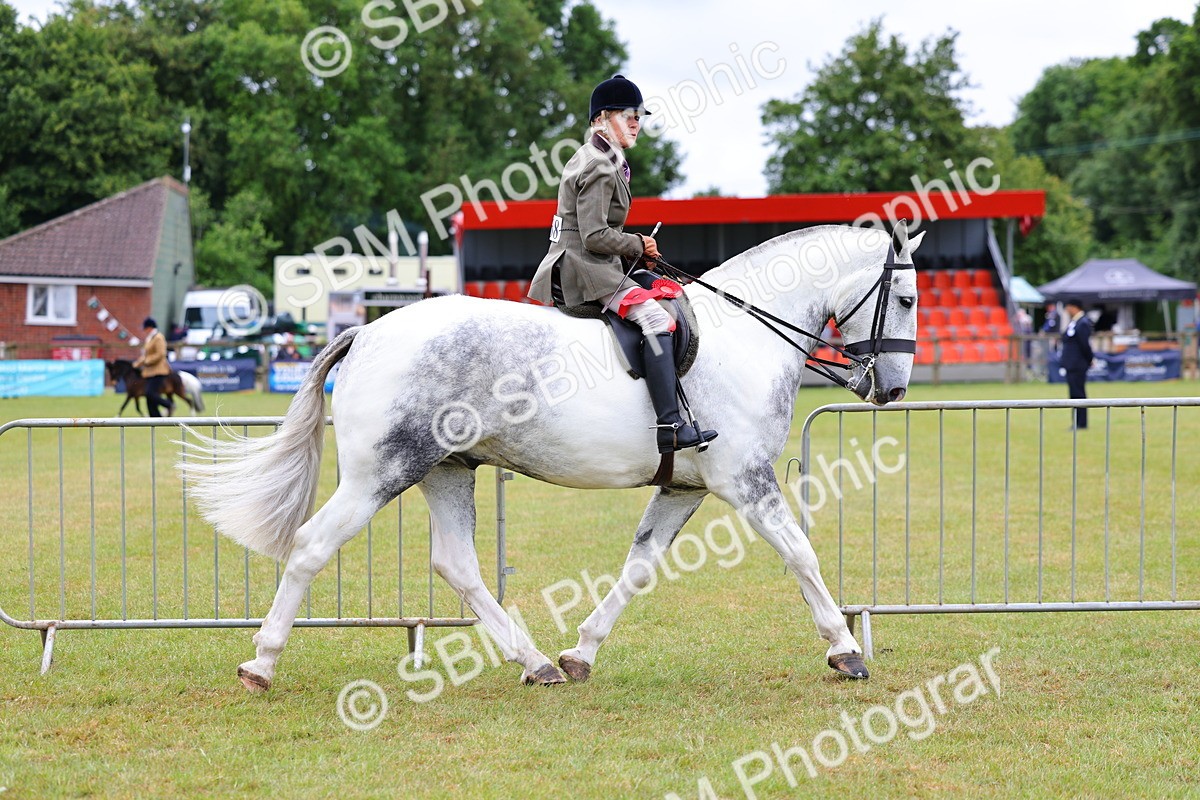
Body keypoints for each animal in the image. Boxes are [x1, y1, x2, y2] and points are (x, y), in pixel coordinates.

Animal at [181, 223, 922, 693]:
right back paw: (261, 665)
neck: (745, 333)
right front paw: (846, 651)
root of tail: (365, 331)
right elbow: (801, 553)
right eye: (909, 298)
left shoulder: (684, 487)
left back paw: (535, 661)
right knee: (310, 547)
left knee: (457, 565)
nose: (892, 390)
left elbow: (638, 568)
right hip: (380, 474)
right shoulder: (744, 480)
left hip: (445, 470)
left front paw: (579, 653)